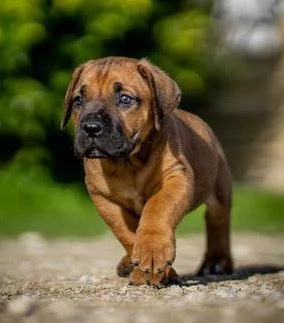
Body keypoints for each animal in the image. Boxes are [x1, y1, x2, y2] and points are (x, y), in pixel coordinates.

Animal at [61, 57, 232, 284]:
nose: (91, 127)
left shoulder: (176, 178)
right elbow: (125, 232)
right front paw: (143, 267)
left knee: (218, 223)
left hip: (220, 192)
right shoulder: (103, 197)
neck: (128, 162)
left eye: (125, 99)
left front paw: (152, 252)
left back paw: (216, 263)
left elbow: (157, 208)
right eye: (78, 100)